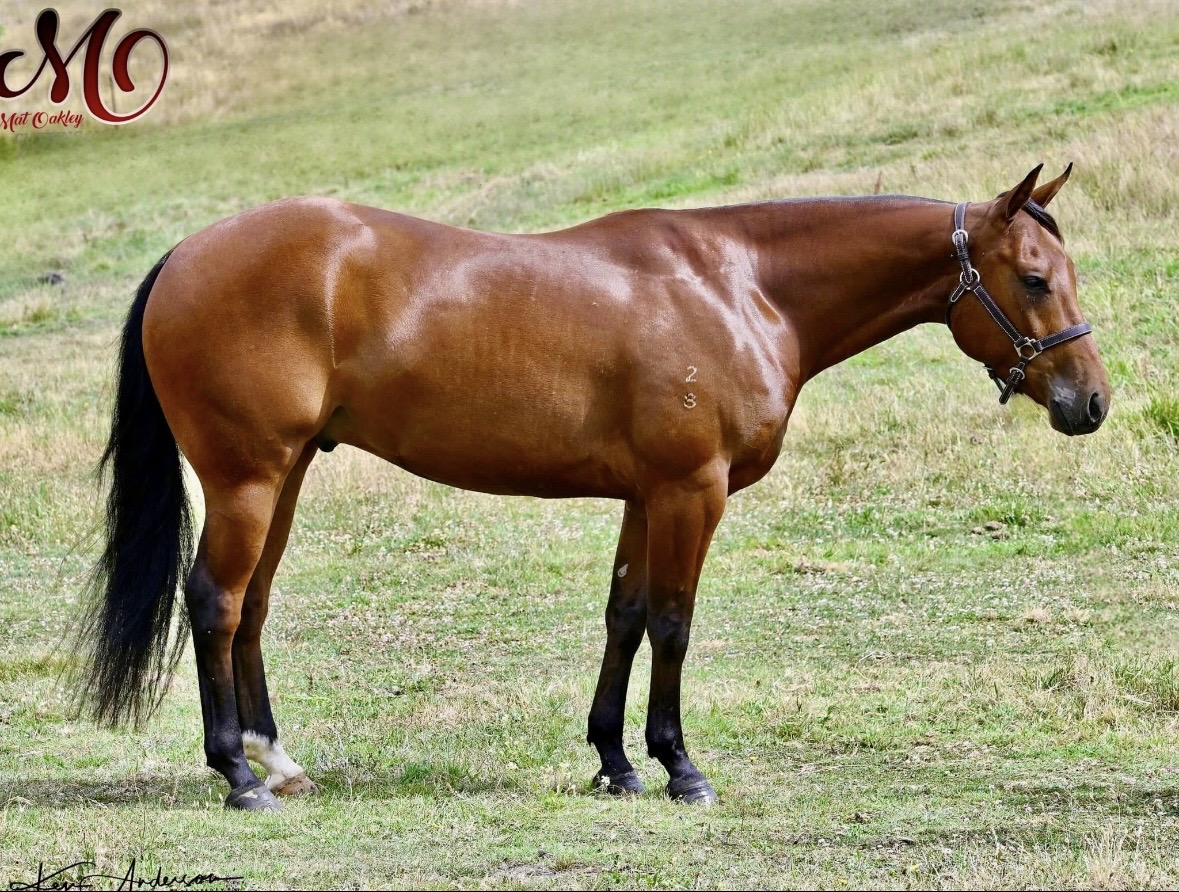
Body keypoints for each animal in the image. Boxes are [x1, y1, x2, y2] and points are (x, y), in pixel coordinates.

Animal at [74, 164, 1109, 810]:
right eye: (1031, 278)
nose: (1088, 401)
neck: (740, 289)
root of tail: (187, 253)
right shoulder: (691, 491)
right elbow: (674, 623)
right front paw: (679, 766)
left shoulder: (645, 497)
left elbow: (625, 616)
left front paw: (614, 760)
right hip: (247, 478)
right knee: (215, 601)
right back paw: (238, 777)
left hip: (282, 476)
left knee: (250, 606)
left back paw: (273, 760)